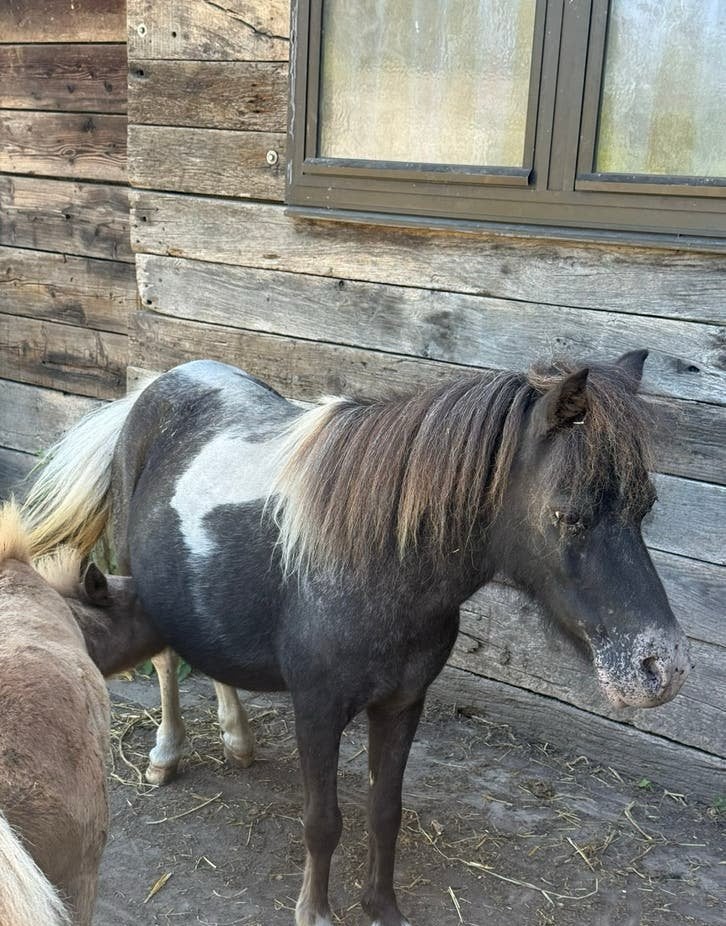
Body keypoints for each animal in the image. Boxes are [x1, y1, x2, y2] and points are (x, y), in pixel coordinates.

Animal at [20, 350, 690, 926]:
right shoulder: (317, 711)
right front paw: (315, 912)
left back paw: (238, 740)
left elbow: (384, 811)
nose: (663, 668)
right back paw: (166, 755)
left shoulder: (402, 704)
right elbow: (323, 820)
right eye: (568, 514)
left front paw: (382, 908)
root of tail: (154, 389)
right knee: (164, 663)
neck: (376, 562)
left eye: (645, 507)